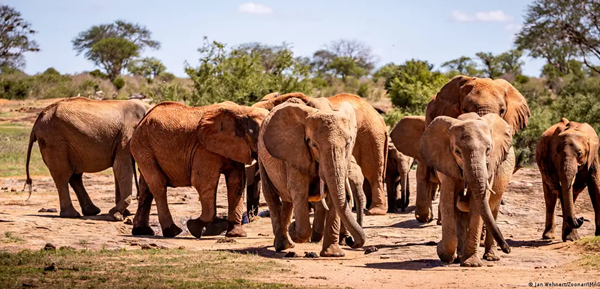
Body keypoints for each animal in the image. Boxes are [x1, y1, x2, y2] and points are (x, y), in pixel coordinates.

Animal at [131, 100, 268, 236]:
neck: (243, 111)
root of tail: (143, 120)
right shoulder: (204, 149)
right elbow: (203, 182)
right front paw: (193, 227)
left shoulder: (235, 147)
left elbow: (236, 182)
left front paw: (236, 234)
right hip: (143, 147)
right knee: (158, 185)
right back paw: (173, 232)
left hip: (145, 149)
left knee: (146, 187)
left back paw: (142, 231)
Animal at [258, 97, 366, 256]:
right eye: (314, 145)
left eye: (347, 143)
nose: (350, 240)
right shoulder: (295, 152)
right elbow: (299, 192)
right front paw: (294, 229)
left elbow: (333, 198)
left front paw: (333, 254)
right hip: (262, 160)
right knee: (272, 197)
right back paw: (282, 245)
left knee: (288, 202)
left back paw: (288, 243)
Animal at [420, 112, 512, 266]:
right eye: (457, 151)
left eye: (488, 149)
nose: (508, 249)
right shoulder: (446, 163)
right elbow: (447, 202)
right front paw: (443, 253)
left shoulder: (490, 167)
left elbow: (477, 205)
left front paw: (471, 264)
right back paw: (459, 257)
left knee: (492, 210)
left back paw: (491, 257)